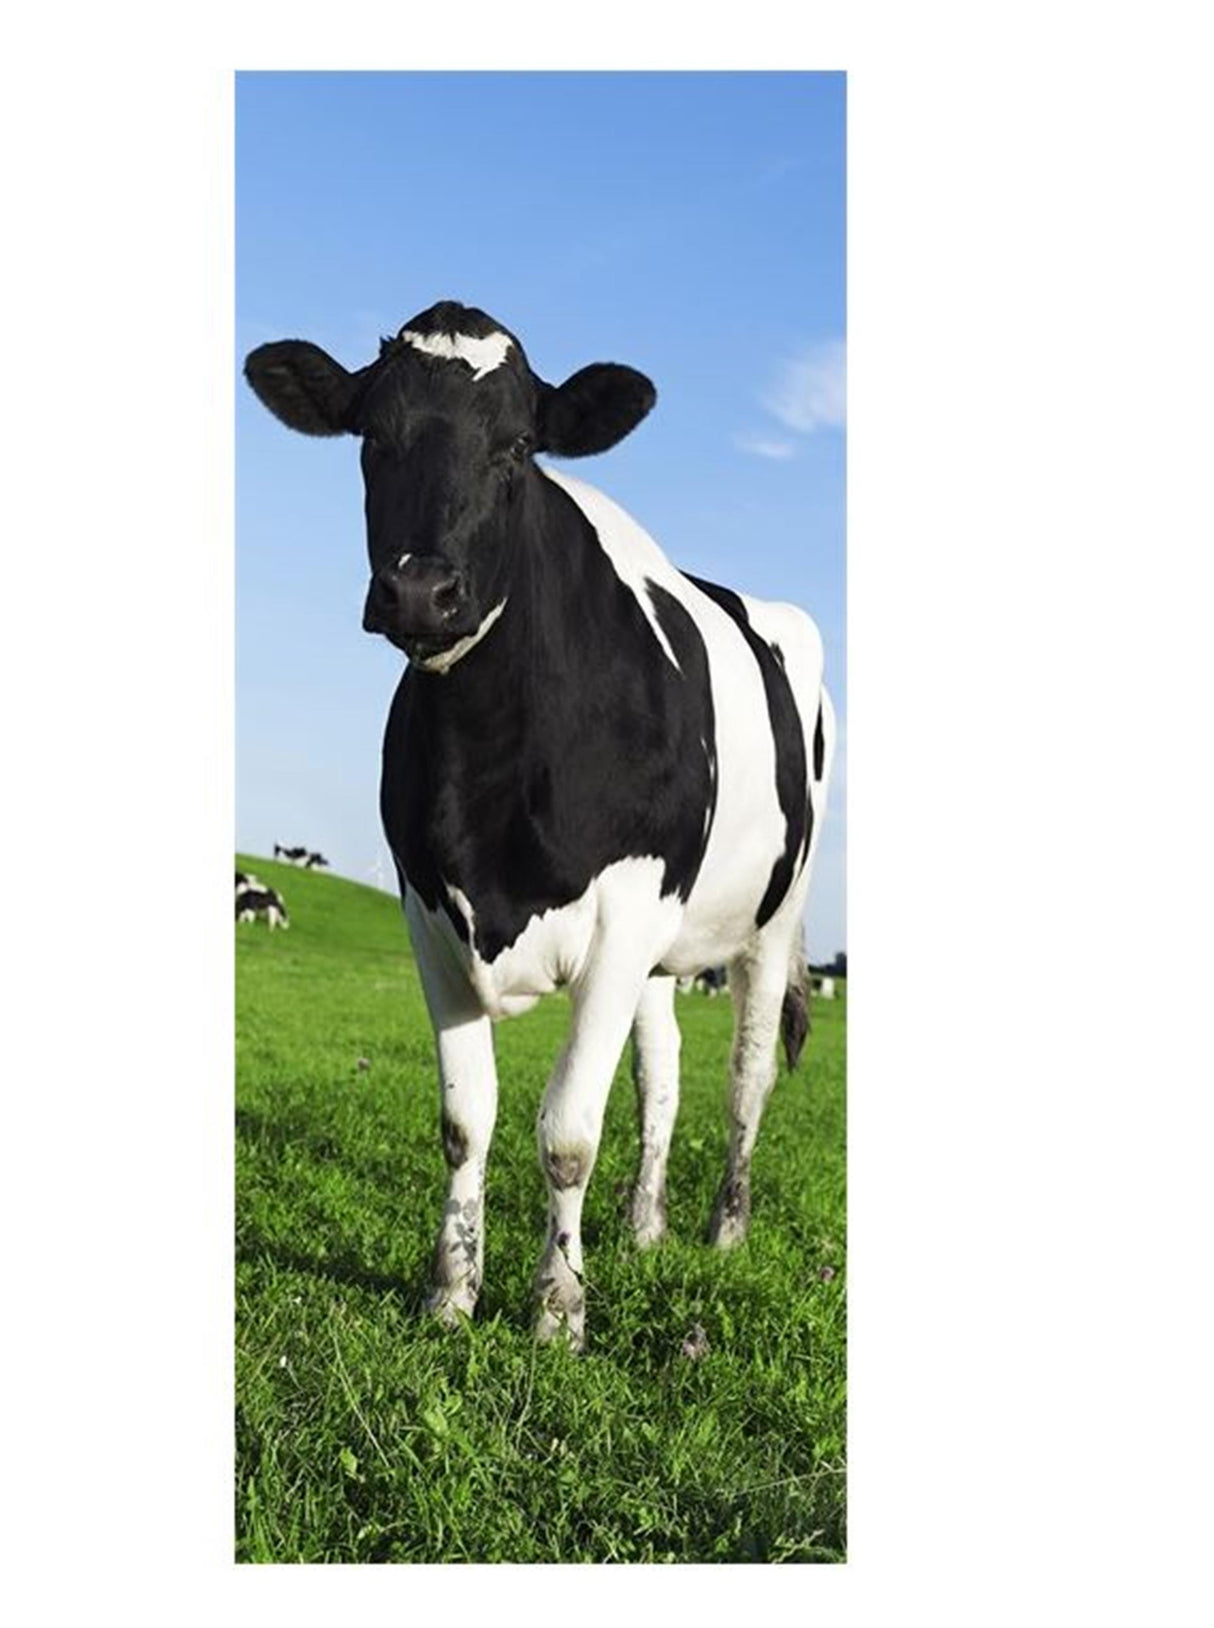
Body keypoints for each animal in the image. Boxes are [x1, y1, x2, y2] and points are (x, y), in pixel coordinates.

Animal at [244, 299, 835, 1350]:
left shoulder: (628, 907)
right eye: (371, 436)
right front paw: (451, 1293)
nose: (420, 590)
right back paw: (644, 1228)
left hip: (771, 919)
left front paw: (557, 1309)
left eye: (518, 446)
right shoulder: (427, 910)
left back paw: (723, 1232)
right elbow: (465, 1120)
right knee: (662, 1077)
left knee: (747, 1076)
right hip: (662, 949)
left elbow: (565, 1132)